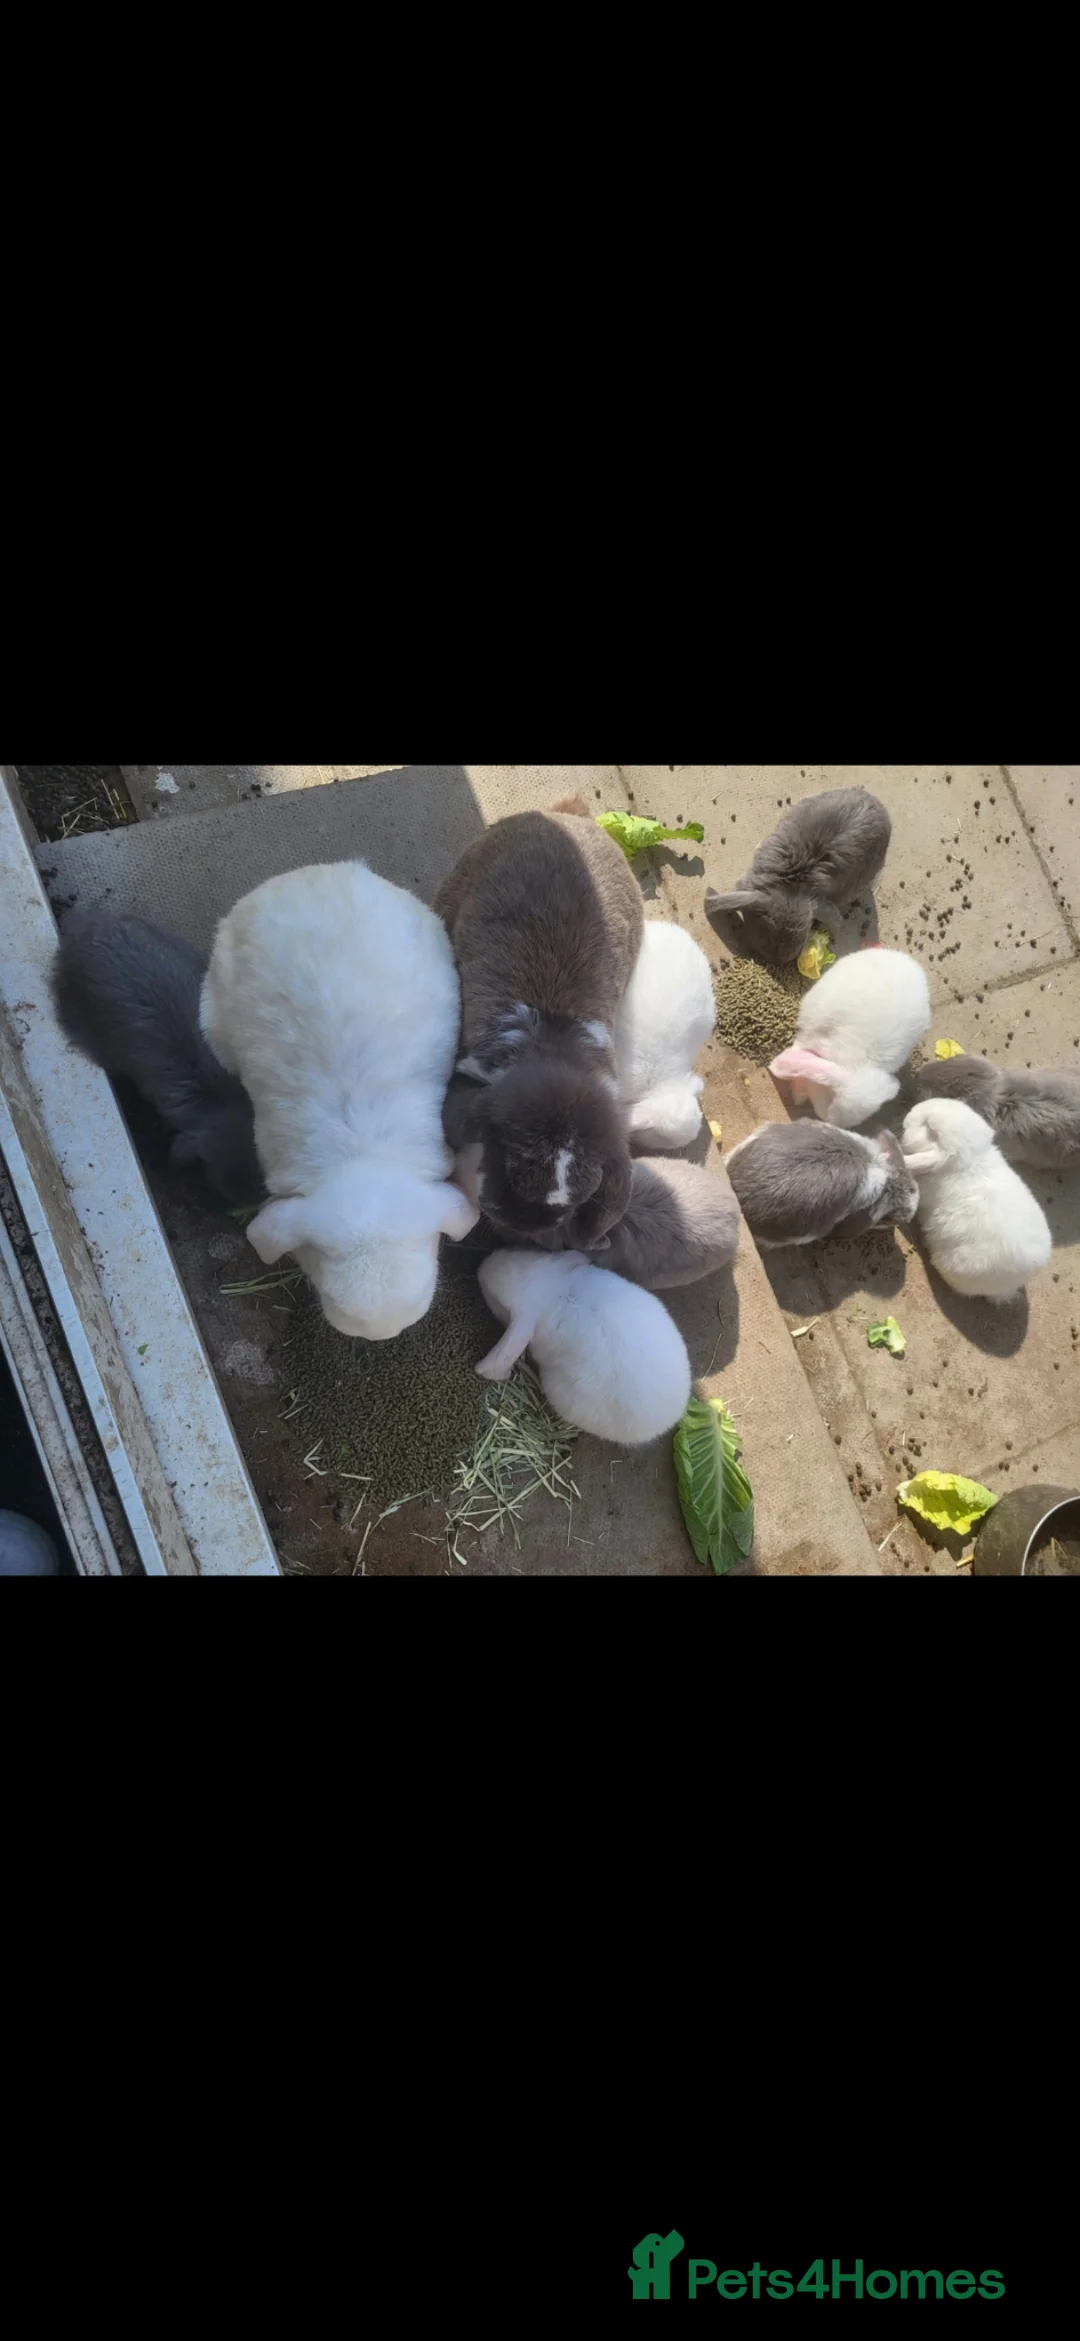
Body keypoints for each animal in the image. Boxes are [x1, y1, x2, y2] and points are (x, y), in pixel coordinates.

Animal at [768, 948, 930, 1127]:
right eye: (829, 1097)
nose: (829, 1121)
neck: (855, 1061)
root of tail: (903, 958)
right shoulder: (806, 1038)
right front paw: (798, 1095)